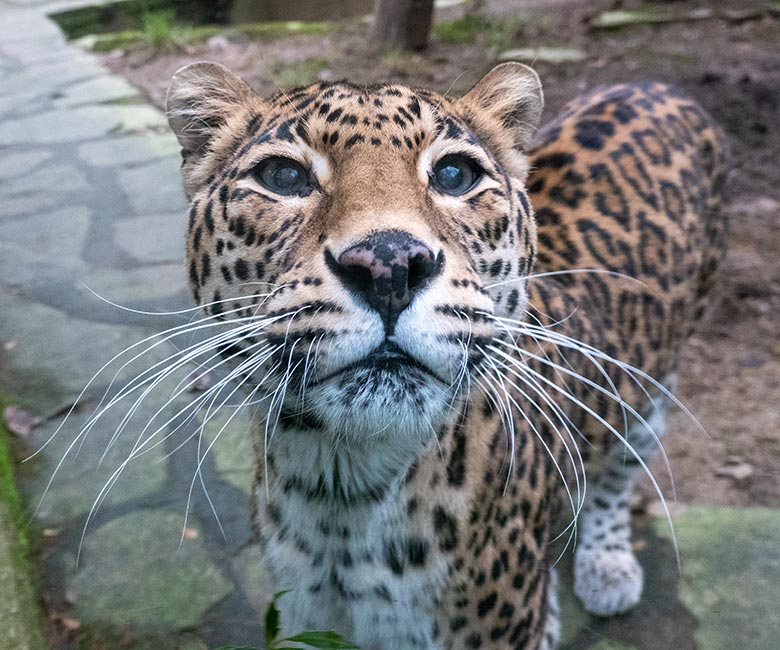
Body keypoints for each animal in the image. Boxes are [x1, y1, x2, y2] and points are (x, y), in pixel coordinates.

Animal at [165, 60, 724, 648]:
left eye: (455, 175)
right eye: (283, 178)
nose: (390, 265)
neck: (340, 490)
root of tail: (657, 84)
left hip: (653, 385)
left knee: (621, 463)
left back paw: (608, 564)